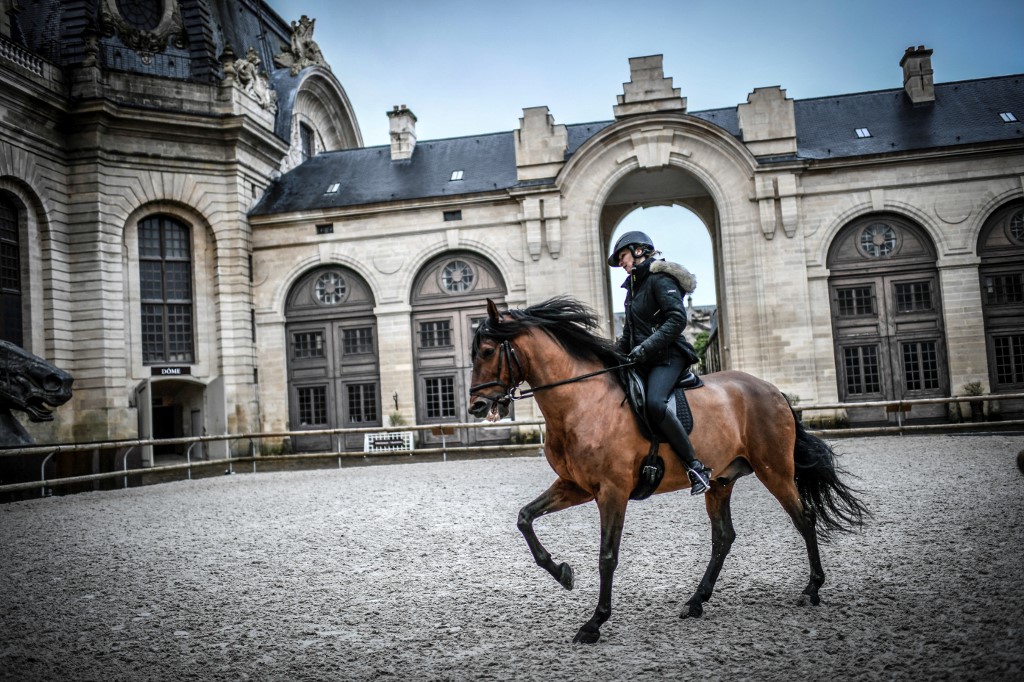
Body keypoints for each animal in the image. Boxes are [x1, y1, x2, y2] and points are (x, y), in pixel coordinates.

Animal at [468, 297, 867, 644]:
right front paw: (562, 573)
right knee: (724, 537)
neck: (582, 402)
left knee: (804, 518)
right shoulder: (575, 485)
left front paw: (595, 622)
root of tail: (772, 390)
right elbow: (525, 518)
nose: (476, 406)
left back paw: (812, 589)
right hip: (721, 481)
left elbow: (607, 556)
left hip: (776, 471)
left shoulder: (612, 492)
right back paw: (696, 601)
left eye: (487, 351)